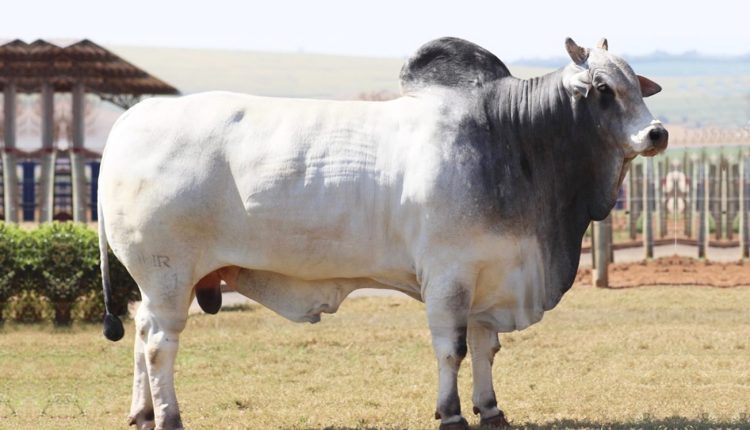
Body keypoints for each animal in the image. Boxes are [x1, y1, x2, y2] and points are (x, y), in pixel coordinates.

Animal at [100, 37, 668, 430]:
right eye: (602, 89)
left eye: (637, 85)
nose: (657, 133)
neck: (513, 138)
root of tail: (132, 120)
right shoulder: (448, 277)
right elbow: (452, 349)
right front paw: (451, 413)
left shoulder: (489, 276)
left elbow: (485, 347)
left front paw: (490, 410)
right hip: (168, 276)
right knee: (159, 346)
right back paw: (169, 417)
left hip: (155, 283)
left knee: (140, 332)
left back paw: (142, 413)